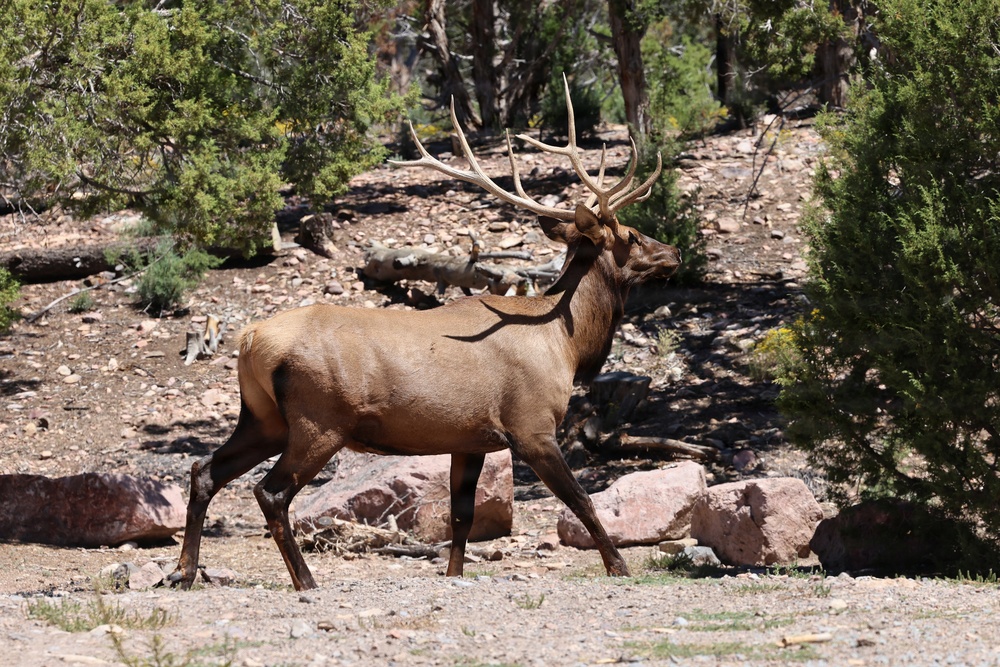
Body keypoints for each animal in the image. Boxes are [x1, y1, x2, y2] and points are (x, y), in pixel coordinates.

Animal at [169, 78, 681, 591]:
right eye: (632, 236)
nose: (674, 252)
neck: (567, 344)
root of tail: (250, 340)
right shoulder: (531, 425)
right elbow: (580, 499)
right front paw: (619, 566)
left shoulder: (469, 439)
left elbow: (461, 518)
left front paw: (453, 575)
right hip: (319, 420)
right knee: (270, 492)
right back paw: (305, 580)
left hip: (263, 418)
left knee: (203, 471)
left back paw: (184, 572)